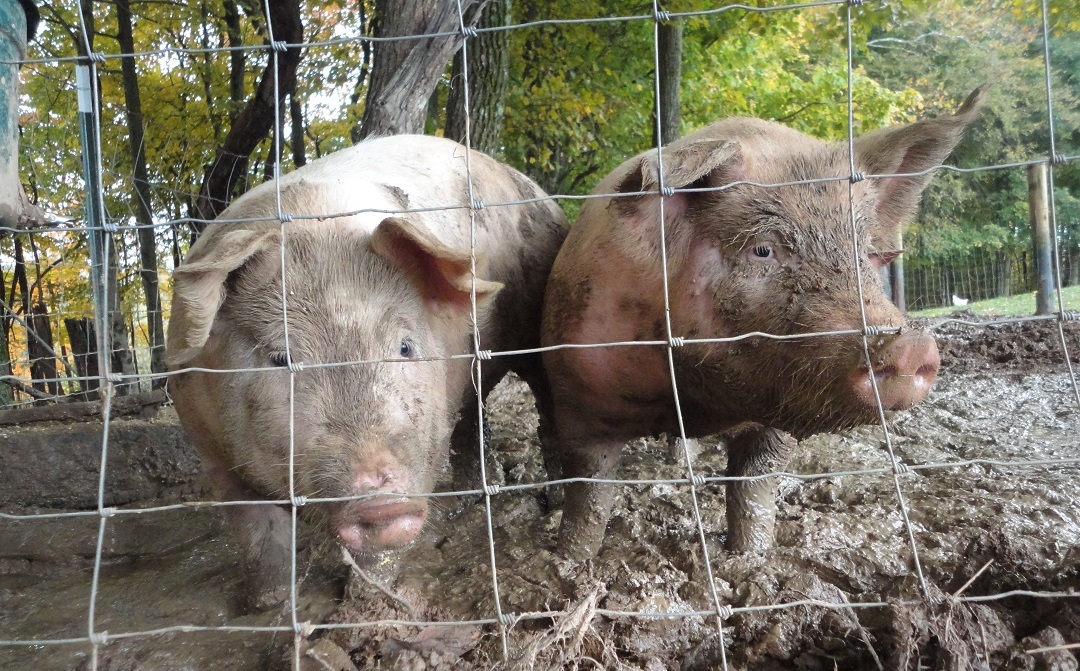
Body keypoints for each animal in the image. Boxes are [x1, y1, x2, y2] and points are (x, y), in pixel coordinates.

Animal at [167, 135, 567, 608]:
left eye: (404, 347)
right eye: (282, 358)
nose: (380, 500)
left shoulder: (424, 447)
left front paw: (369, 603)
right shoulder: (208, 446)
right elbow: (256, 535)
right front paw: (270, 604)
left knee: (548, 409)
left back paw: (555, 501)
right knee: (471, 421)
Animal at [541, 86, 987, 559]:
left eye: (866, 253)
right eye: (762, 250)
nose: (909, 345)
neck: (700, 396)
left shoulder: (777, 415)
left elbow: (753, 488)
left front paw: (753, 556)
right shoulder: (578, 392)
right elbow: (589, 491)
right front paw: (571, 559)